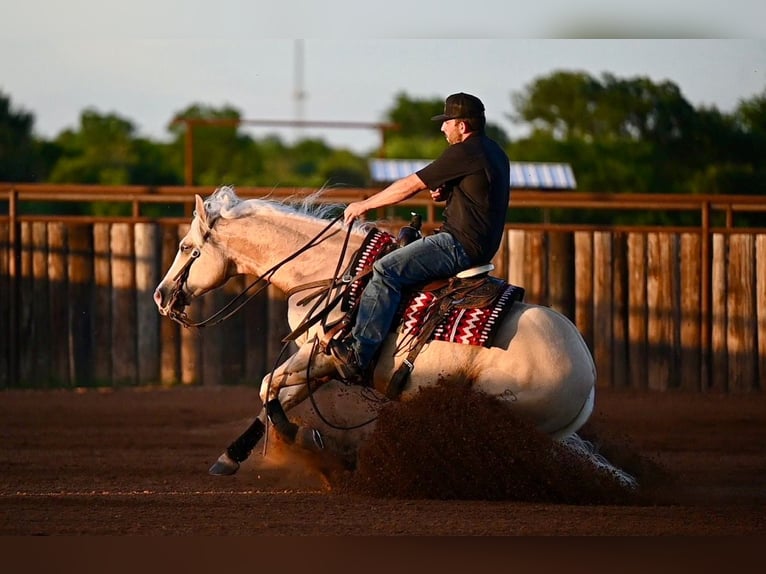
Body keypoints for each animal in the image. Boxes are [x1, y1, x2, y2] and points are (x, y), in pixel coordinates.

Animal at [153, 186, 599, 478]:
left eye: (185, 247)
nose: (160, 295)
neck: (335, 273)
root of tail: (588, 375)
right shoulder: (318, 362)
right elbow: (276, 396)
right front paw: (231, 457)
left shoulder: (321, 352)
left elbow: (267, 387)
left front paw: (304, 438)